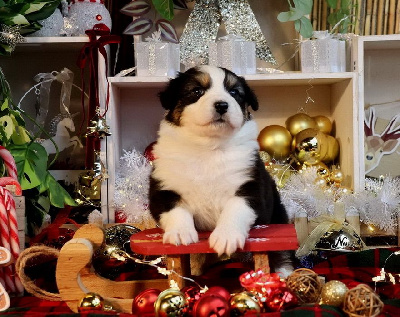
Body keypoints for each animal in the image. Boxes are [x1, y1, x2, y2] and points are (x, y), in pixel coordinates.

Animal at [150, 65, 294, 276]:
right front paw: (180, 233)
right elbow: (175, 208)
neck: (209, 148)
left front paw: (226, 237)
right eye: (197, 91)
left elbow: (235, 208)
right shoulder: (163, 185)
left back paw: (285, 274)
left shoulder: (251, 184)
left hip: (278, 214)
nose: (222, 105)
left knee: (283, 254)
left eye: (234, 92)